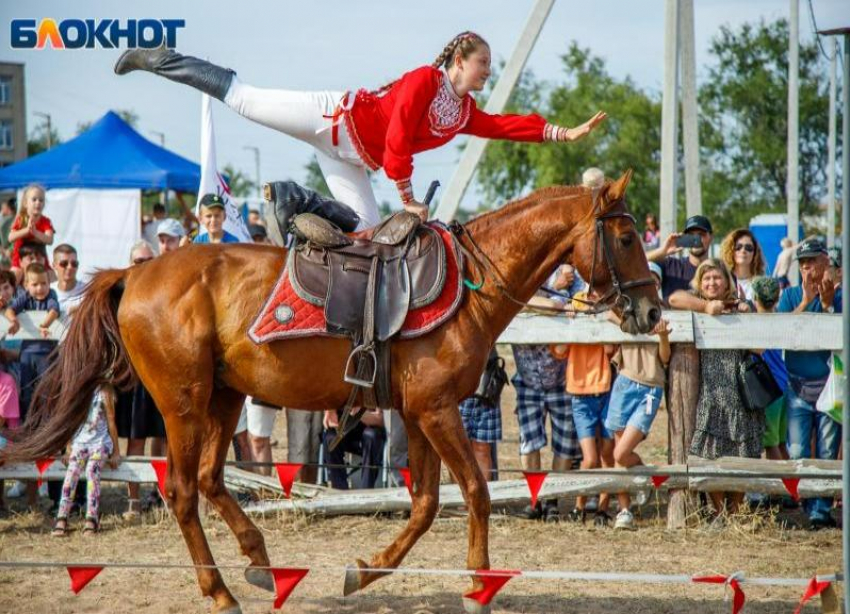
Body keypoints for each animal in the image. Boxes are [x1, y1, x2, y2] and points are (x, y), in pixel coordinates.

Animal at [8, 170, 656, 614]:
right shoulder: (436, 411)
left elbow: (425, 504)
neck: (469, 285)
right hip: (184, 404)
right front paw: (478, 584)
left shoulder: (416, 414)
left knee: (212, 480)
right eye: (627, 236)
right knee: (183, 492)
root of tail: (134, 273)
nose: (651, 309)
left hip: (223, 397)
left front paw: (366, 570)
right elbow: (473, 491)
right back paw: (219, 590)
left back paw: (261, 563)